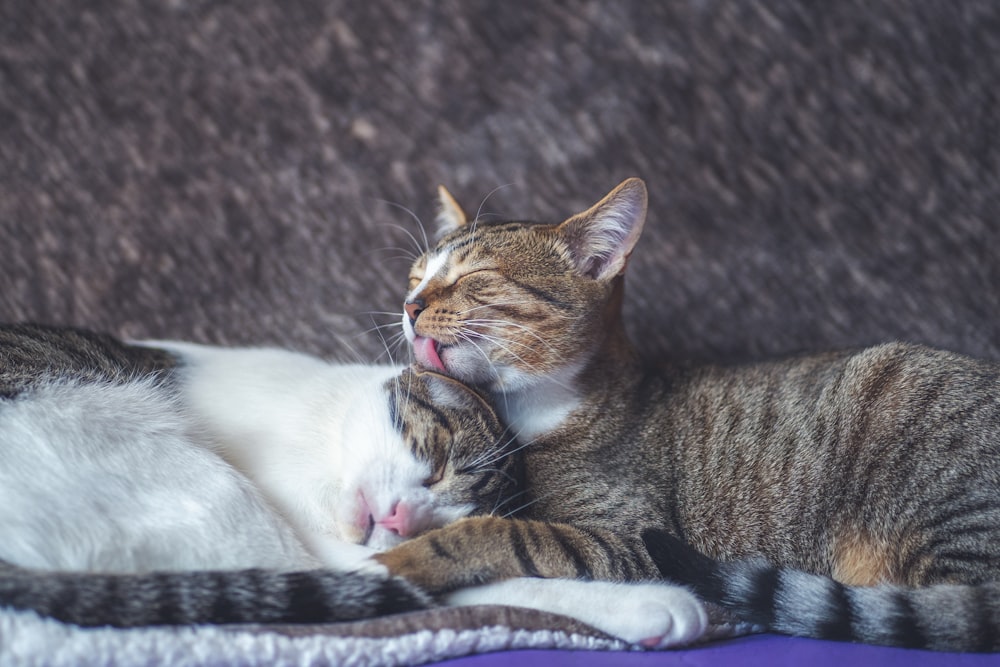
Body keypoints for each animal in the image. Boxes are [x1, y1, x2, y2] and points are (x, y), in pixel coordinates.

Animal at [0, 324, 708, 648]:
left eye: (456, 512)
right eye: (437, 464)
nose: (400, 519)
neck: (323, 448)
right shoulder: (331, 550)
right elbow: (498, 579)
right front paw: (653, 604)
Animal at [374, 177, 1000, 652]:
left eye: (475, 278)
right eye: (415, 276)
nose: (409, 305)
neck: (530, 412)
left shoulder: (631, 538)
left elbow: (503, 533)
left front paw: (403, 559)